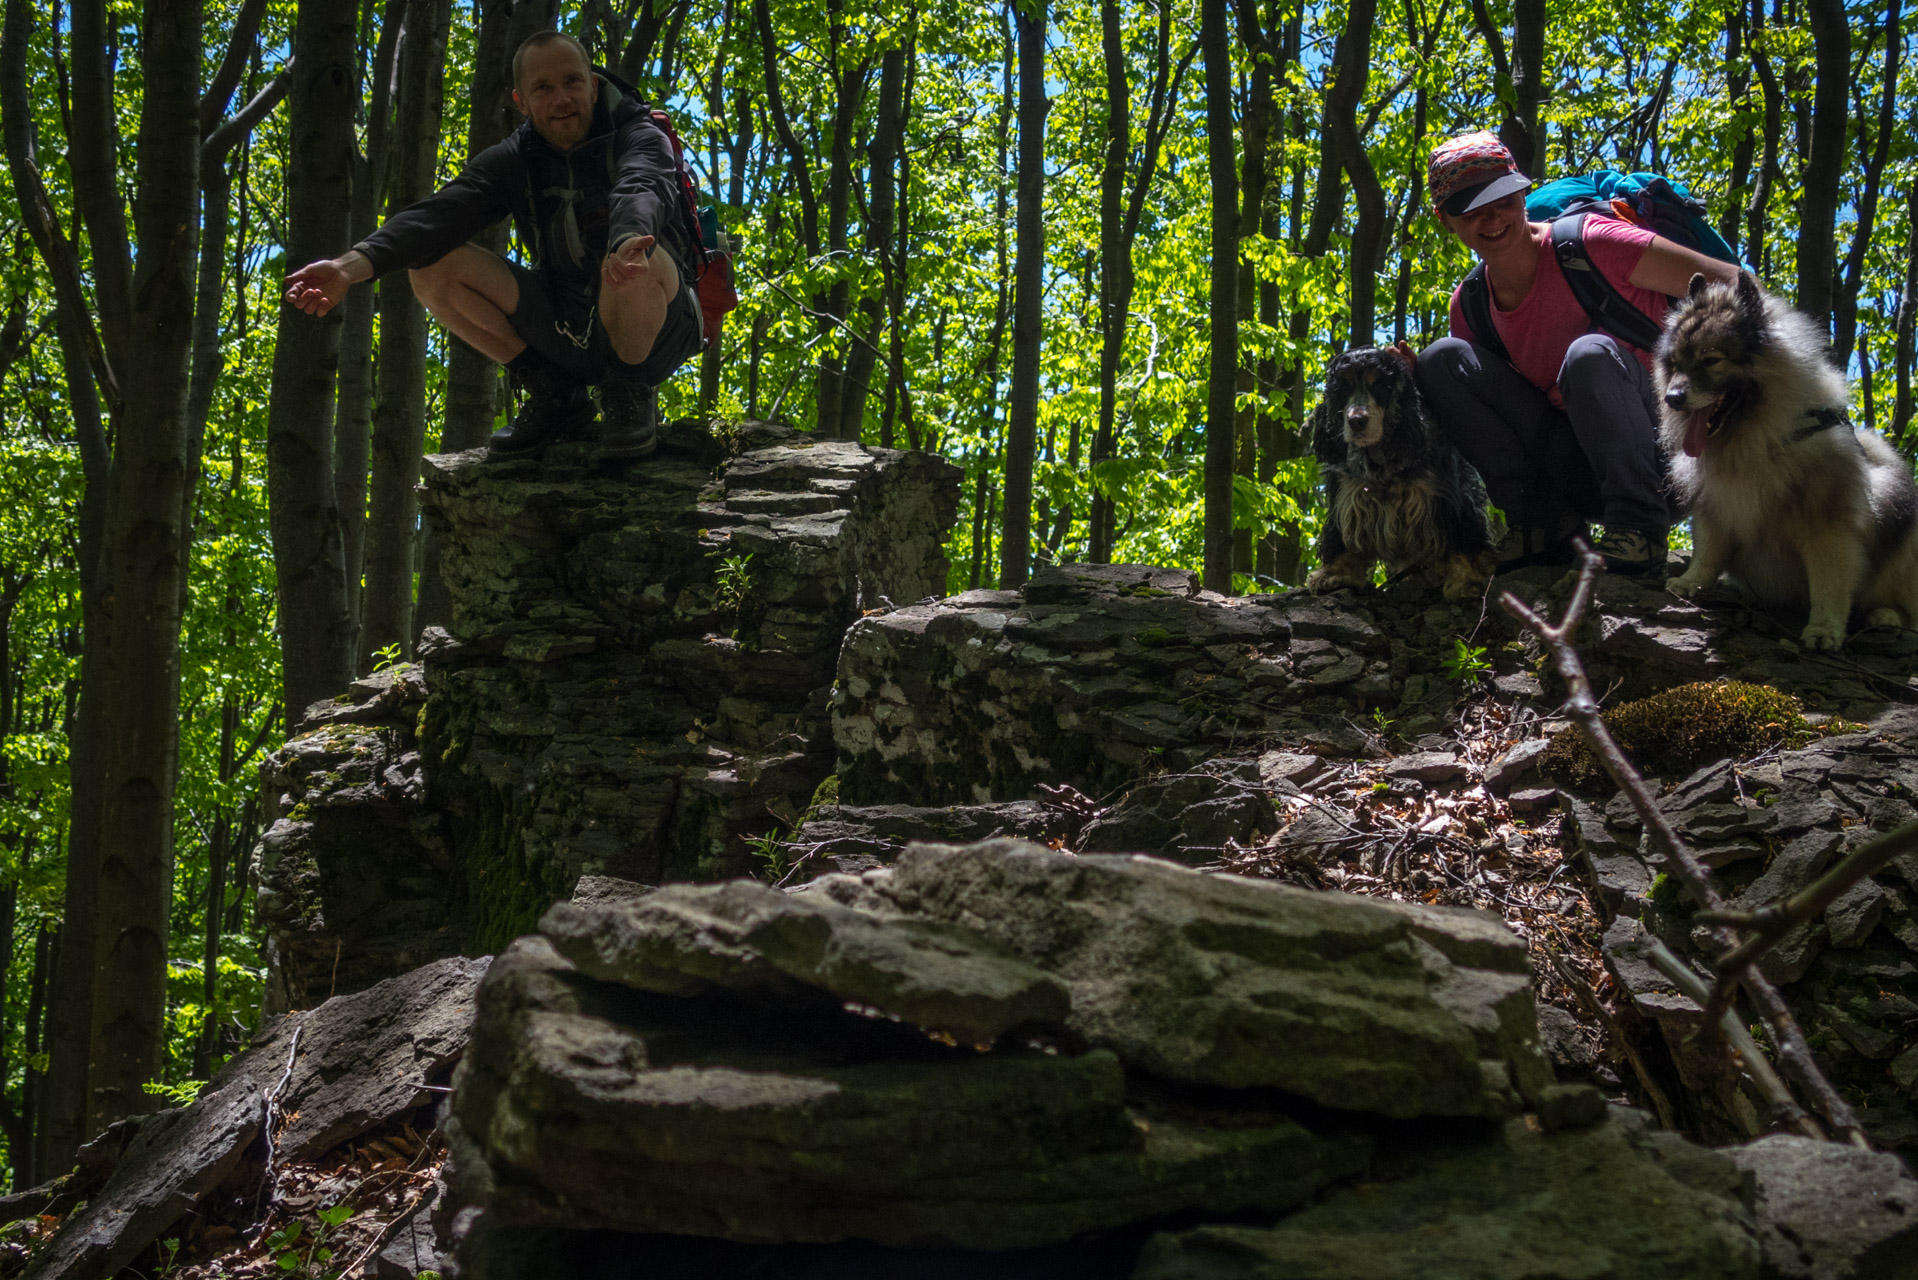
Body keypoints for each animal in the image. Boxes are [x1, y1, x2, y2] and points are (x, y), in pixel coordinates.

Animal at [1657, 272, 1910, 652]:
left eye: (1711, 359)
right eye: (1675, 363)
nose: (1672, 398)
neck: (1755, 440)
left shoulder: (1827, 528)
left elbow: (1829, 584)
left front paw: (1823, 629)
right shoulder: (1715, 508)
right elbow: (1709, 552)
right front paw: (1691, 582)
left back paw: (1887, 616)